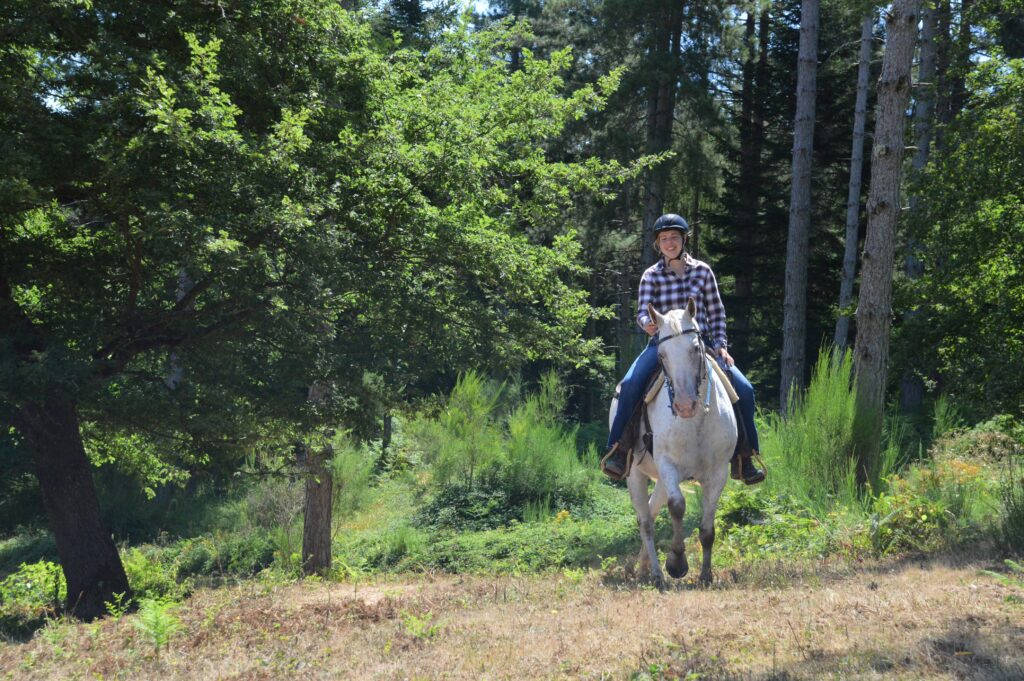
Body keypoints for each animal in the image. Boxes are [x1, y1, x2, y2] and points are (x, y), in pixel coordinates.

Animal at [609, 300, 738, 587]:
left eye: (695, 348)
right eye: (661, 355)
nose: (684, 405)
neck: (696, 423)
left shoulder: (718, 473)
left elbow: (707, 529)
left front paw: (706, 575)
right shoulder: (668, 465)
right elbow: (677, 506)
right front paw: (676, 562)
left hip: (659, 479)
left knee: (652, 510)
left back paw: (644, 568)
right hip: (636, 474)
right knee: (645, 520)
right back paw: (656, 574)